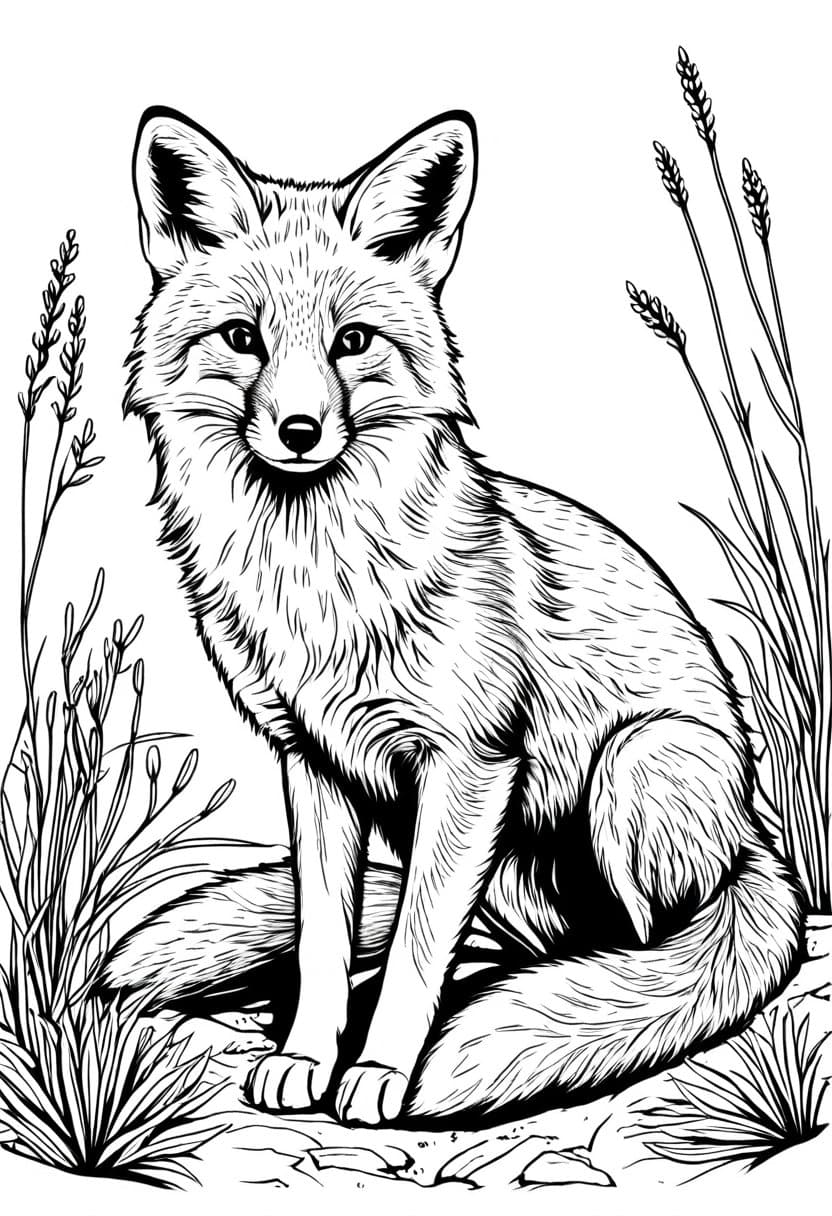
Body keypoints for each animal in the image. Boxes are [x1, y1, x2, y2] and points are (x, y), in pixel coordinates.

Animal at [107, 105, 802, 1128]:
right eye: (242, 337)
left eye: (353, 342)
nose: (301, 432)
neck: (319, 585)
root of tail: (762, 844)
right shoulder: (314, 761)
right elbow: (327, 941)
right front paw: (307, 1054)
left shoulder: (472, 762)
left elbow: (416, 952)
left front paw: (382, 1074)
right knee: (514, 940)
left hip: (638, 767)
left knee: (645, 941)